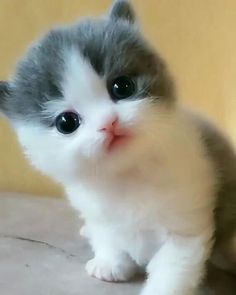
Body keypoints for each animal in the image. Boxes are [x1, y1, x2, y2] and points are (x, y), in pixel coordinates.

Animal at [0, 0, 236, 295]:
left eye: (122, 86)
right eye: (67, 122)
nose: (108, 123)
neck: (126, 177)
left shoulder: (185, 228)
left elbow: (172, 267)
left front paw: (160, 289)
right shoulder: (98, 212)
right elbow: (108, 237)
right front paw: (110, 264)